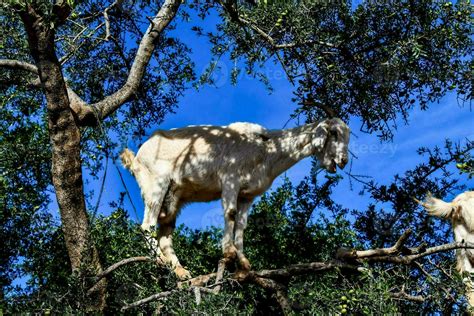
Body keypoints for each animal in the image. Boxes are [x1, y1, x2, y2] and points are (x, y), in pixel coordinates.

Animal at [120, 118, 350, 278]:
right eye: (334, 133)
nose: (343, 160)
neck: (266, 148)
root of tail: (135, 158)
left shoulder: (248, 195)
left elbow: (241, 224)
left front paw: (244, 262)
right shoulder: (230, 181)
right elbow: (230, 214)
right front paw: (228, 252)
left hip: (173, 199)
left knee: (165, 236)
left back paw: (181, 272)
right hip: (156, 185)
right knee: (147, 225)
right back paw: (161, 261)